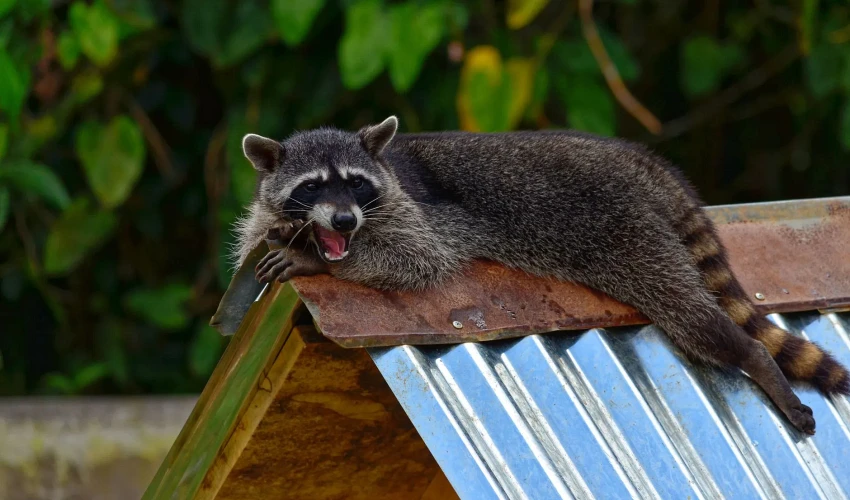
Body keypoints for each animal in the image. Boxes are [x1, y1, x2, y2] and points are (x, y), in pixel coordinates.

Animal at [236, 116, 849, 434]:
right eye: (313, 186)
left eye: (356, 184)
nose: (343, 220)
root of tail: (636, 160)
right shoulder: (267, 219)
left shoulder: (421, 213)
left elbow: (420, 259)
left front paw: (317, 261)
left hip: (627, 228)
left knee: (694, 316)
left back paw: (753, 357)